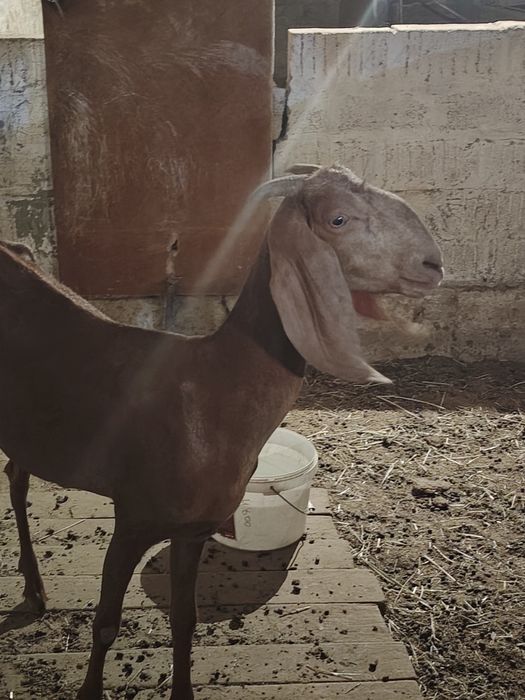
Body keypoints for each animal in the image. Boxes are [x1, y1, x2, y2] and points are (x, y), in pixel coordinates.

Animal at [1, 165, 443, 699]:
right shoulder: (132, 520)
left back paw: (33, 587)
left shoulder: (193, 529)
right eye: (338, 219)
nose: (433, 264)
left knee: (16, 474)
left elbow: (184, 620)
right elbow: (106, 623)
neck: (214, 390)